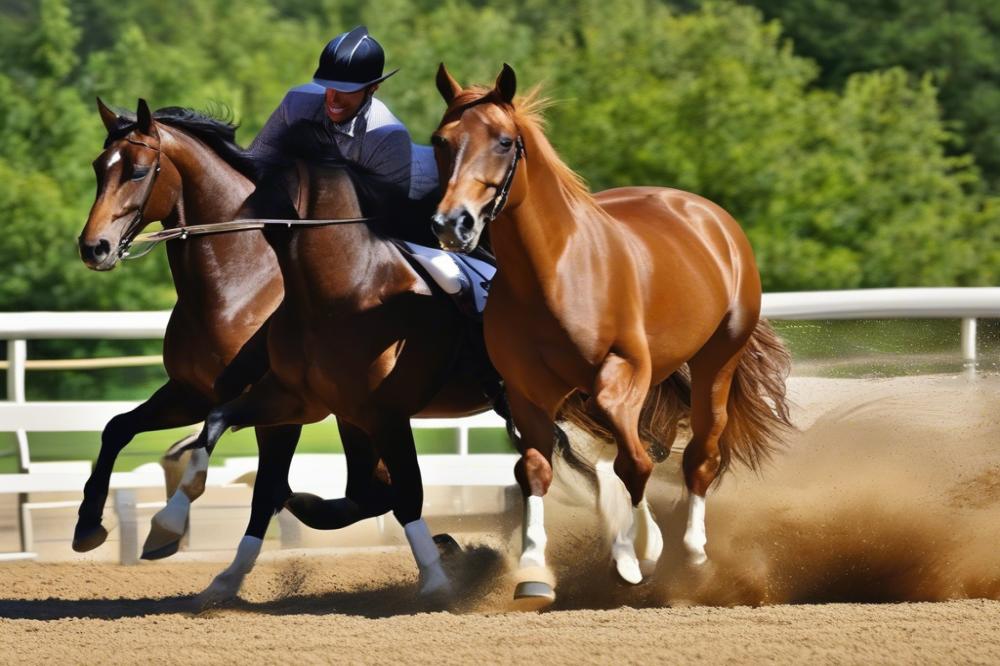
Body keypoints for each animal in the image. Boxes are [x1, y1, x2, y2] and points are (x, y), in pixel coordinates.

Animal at [434, 65, 792, 608]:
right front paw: (533, 571)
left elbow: (635, 463)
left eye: (503, 141)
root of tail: (710, 216)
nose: (453, 223)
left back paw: (692, 554)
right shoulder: (526, 394)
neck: (553, 272)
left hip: (717, 361)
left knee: (699, 455)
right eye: (442, 140)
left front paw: (639, 554)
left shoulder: (622, 373)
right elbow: (535, 470)